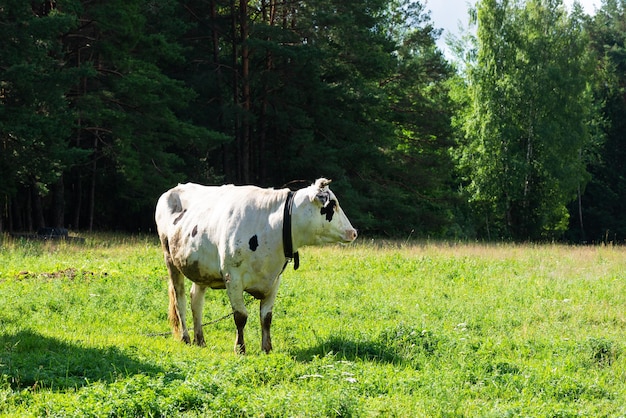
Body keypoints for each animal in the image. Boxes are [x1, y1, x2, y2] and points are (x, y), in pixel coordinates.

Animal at [154, 178, 356, 354]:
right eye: (332, 205)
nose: (353, 232)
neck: (272, 227)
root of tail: (173, 189)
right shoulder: (232, 277)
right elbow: (240, 316)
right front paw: (240, 349)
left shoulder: (275, 279)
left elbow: (266, 317)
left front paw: (267, 348)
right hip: (170, 260)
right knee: (180, 300)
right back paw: (186, 338)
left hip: (200, 268)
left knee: (195, 299)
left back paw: (200, 340)